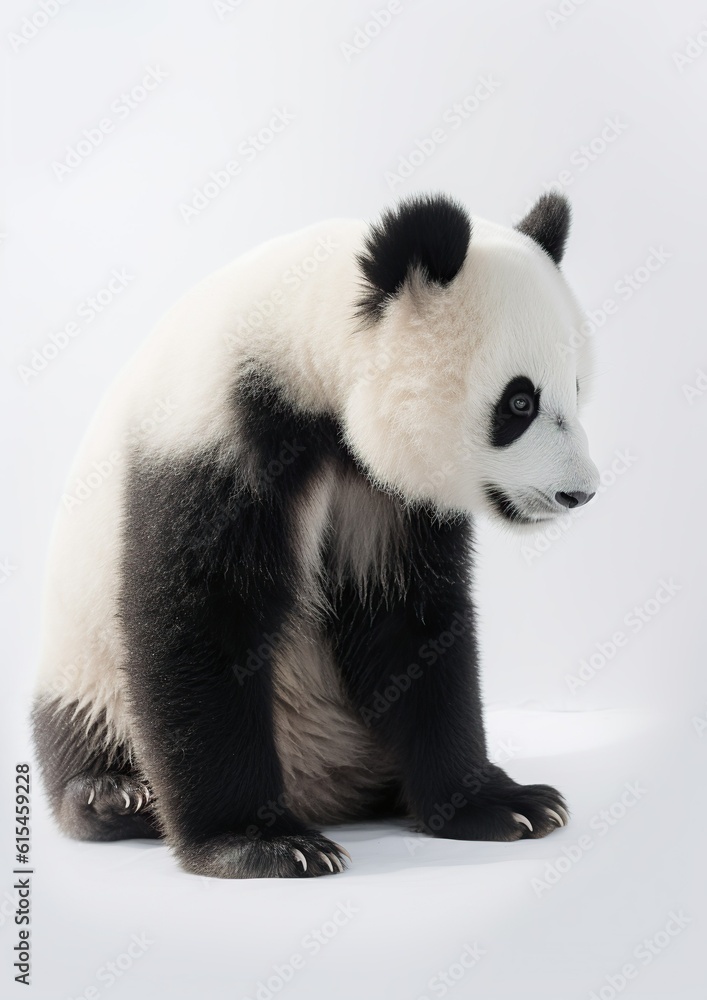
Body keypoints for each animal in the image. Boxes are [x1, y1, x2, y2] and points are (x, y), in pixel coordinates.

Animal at [32, 191, 599, 879]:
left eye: (577, 388)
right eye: (519, 404)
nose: (579, 492)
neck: (302, 344)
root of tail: (323, 786)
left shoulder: (384, 494)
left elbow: (409, 623)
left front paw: (496, 803)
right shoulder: (215, 437)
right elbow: (201, 620)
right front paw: (258, 843)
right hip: (83, 664)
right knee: (80, 722)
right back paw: (113, 796)